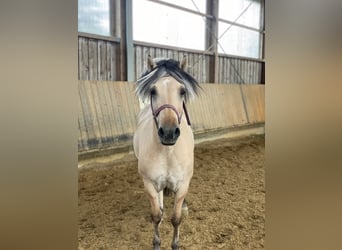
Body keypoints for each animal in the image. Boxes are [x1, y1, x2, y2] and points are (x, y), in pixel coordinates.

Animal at [132, 55, 199, 250]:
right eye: (153, 91)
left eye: (182, 91)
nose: (169, 132)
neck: (168, 152)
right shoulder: (149, 183)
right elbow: (156, 216)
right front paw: (156, 243)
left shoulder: (183, 184)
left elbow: (176, 218)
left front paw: (175, 244)